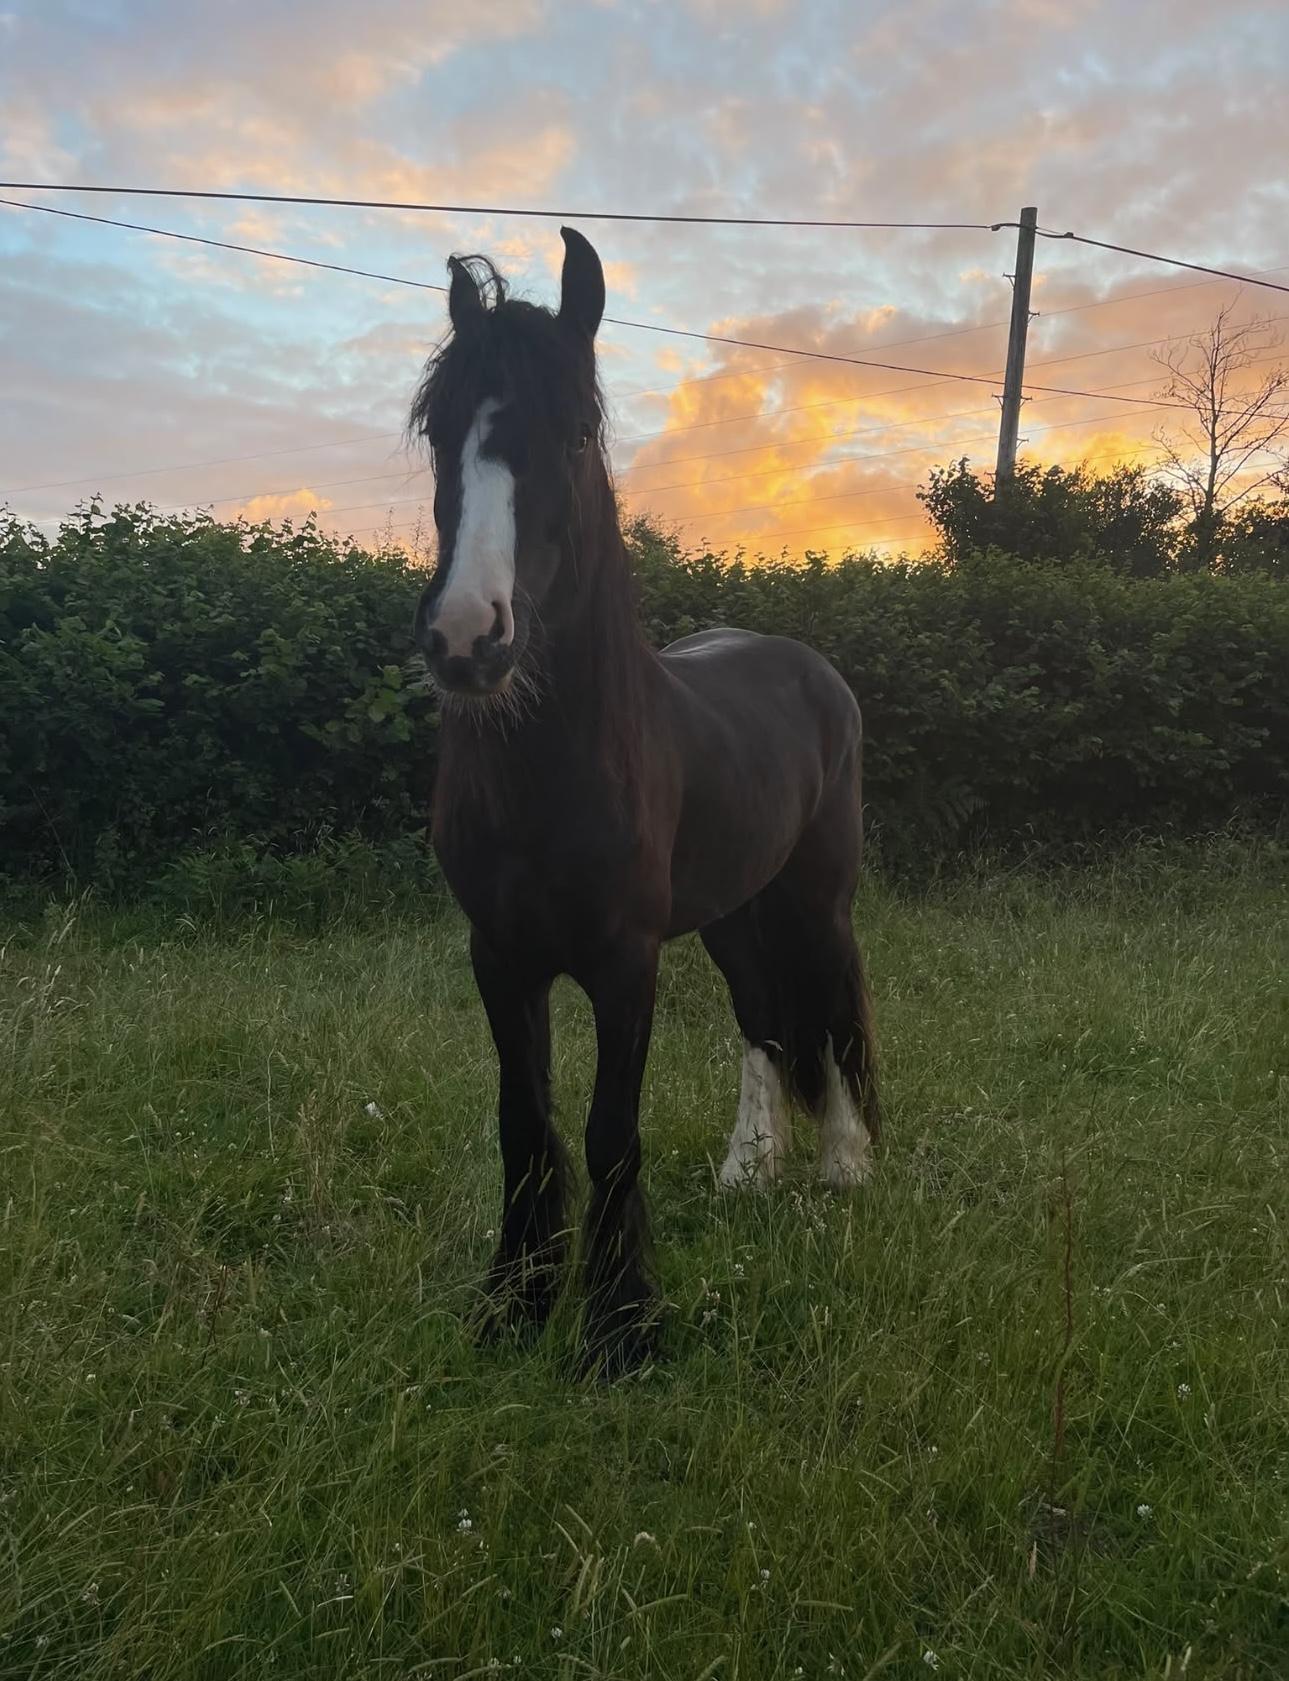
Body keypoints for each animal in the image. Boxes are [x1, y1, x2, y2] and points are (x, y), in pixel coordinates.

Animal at [410, 227, 879, 1376]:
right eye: (440, 429)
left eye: (575, 430)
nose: (465, 639)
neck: (552, 772)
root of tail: (808, 665)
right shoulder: (500, 957)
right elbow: (524, 1123)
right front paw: (515, 1303)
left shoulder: (625, 963)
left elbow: (606, 1130)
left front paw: (619, 1325)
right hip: (729, 911)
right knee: (763, 1015)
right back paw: (750, 1168)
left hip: (818, 898)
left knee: (837, 1001)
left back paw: (844, 1166)